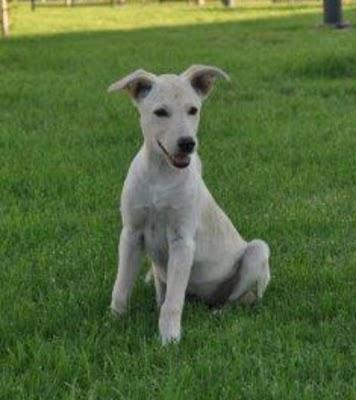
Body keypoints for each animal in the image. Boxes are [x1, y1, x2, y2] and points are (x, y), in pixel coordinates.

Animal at [108, 65, 270, 344]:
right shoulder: (131, 234)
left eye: (193, 110)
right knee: (163, 288)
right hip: (159, 272)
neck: (160, 174)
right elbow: (121, 285)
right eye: (161, 112)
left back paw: (219, 313)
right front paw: (114, 322)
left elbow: (174, 302)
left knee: (240, 299)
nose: (187, 143)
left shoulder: (182, 240)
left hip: (257, 252)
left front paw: (169, 339)